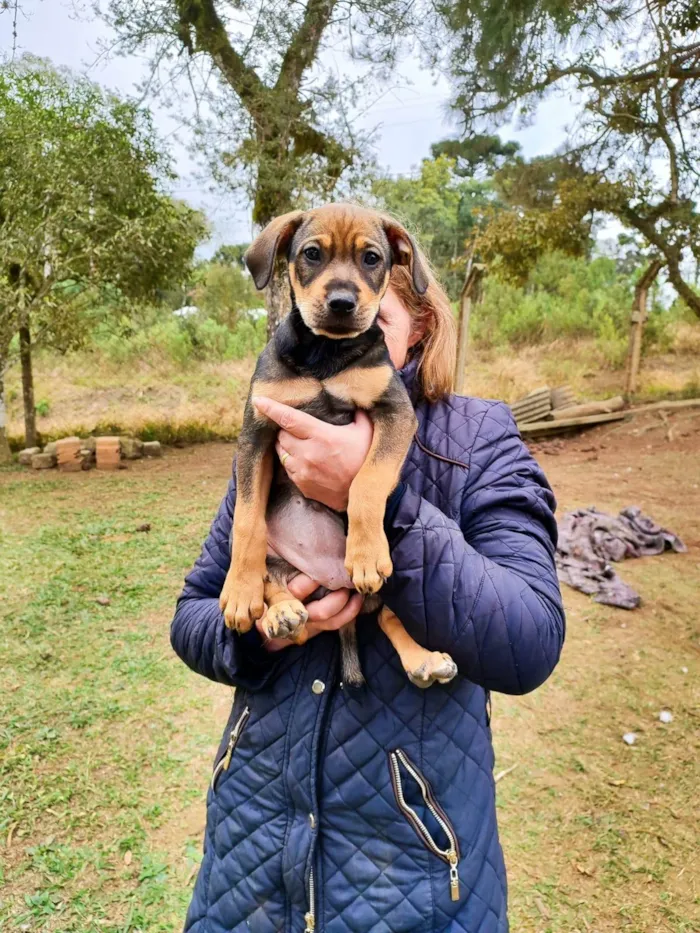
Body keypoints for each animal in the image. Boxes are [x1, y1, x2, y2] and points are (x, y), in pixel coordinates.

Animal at [221, 202, 456, 684]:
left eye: (372, 259)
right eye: (312, 253)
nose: (343, 304)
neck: (324, 355)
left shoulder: (395, 412)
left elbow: (366, 483)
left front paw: (365, 554)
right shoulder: (256, 431)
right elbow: (247, 520)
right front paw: (238, 590)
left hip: (385, 588)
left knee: (386, 614)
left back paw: (424, 659)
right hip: (282, 564)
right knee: (277, 588)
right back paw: (280, 612)